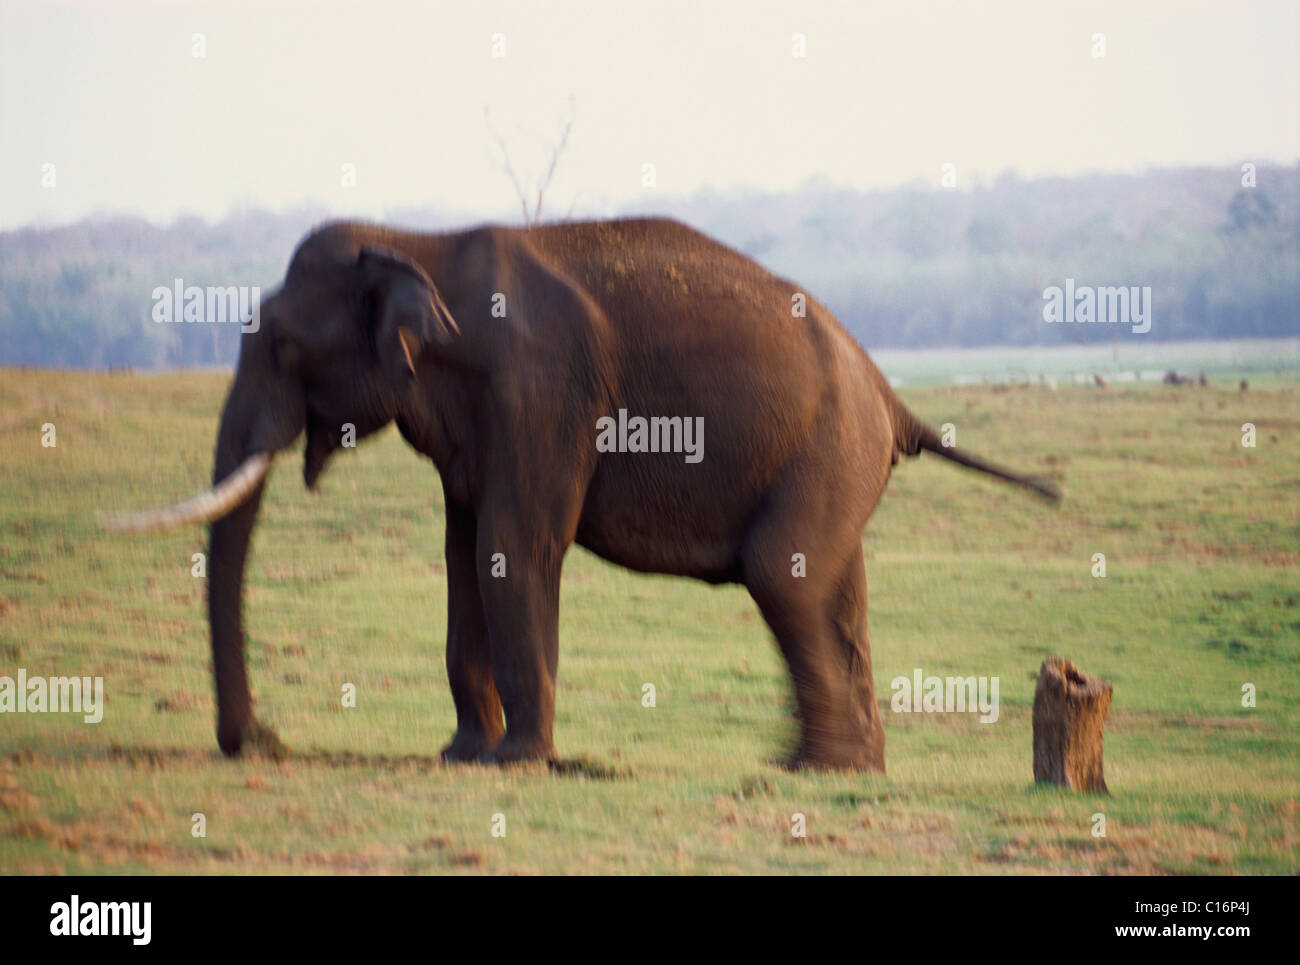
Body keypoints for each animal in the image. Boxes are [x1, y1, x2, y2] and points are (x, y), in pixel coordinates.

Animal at [101, 215, 1055, 775]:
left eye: (286, 347)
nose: (263, 743)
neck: (418, 239)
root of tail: (893, 395)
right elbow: (465, 552)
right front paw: (461, 755)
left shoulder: (542, 392)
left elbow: (515, 548)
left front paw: (515, 762)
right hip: (833, 459)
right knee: (834, 588)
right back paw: (851, 768)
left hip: (827, 448)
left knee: (781, 575)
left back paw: (805, 769)